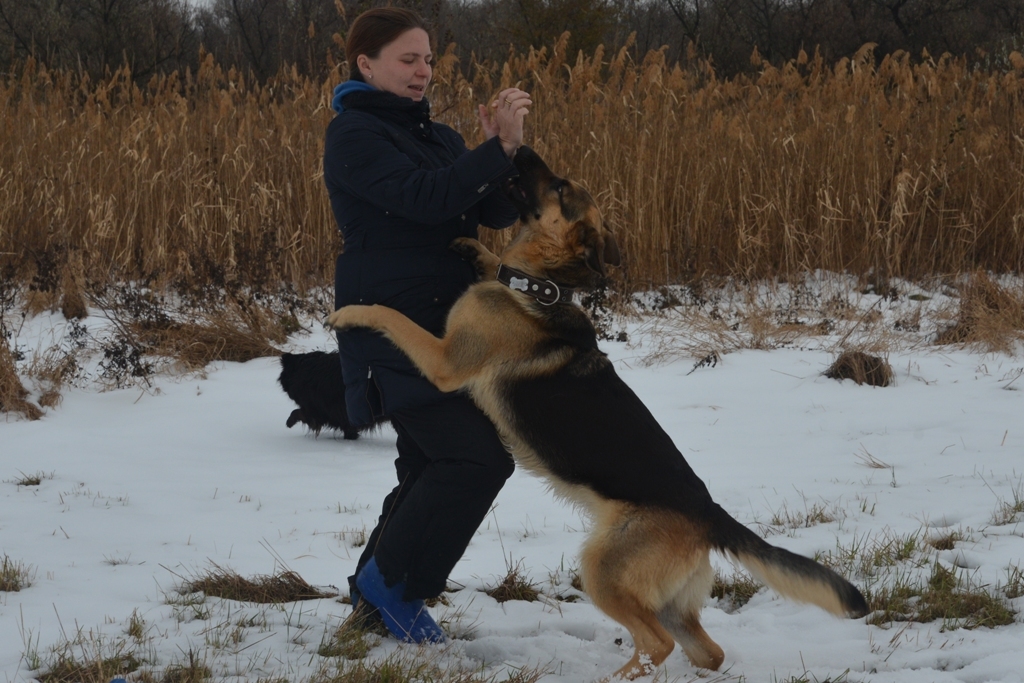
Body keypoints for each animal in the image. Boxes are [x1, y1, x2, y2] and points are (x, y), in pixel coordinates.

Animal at [325, 145, 864, 679]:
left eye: (561, 186)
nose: (519, 148)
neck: (539, 288)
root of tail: (708, 512)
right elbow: (491, 260)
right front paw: (471, 247)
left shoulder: (444, 361)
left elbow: (392, 316)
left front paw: (350, 312)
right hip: (664, 597)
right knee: (706, 650)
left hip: (602, 570)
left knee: (659, 642)